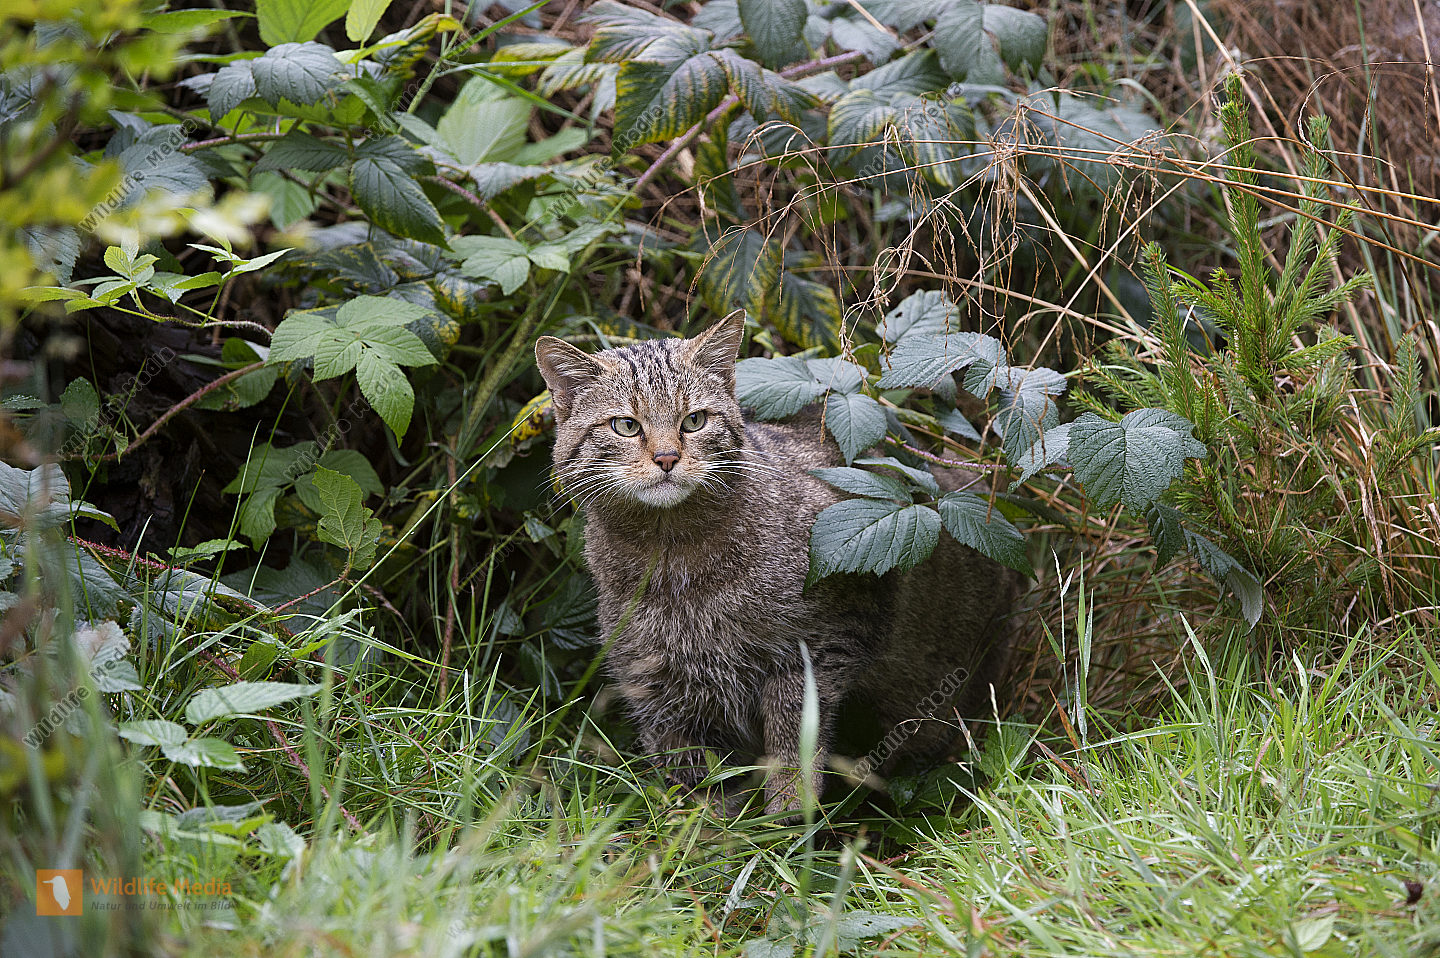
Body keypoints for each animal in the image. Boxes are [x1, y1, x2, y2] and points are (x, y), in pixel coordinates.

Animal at [535, 312, 1021, 817]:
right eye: (626, 426)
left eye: (694, 420)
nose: (667, 457)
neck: (671, 559)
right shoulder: (655, 686)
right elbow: (691, 783)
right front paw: (703, 829)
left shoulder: (824, 642)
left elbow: (795, 742)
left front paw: (787, 817)